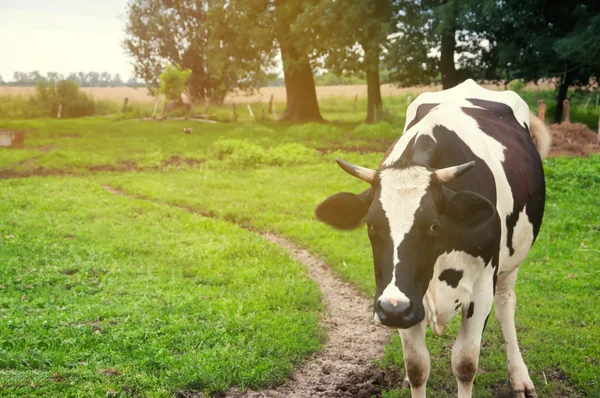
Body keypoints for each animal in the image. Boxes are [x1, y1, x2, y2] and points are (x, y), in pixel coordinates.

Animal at [316, 78, 552, 398]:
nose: (391, 310)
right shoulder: (404, 297)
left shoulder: (481, 288)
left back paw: (520, 377)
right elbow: (417, 366)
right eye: (371, 225)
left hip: (511, 263)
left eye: (433, 226)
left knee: (506, 305)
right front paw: (410, 375)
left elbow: (465, 363)